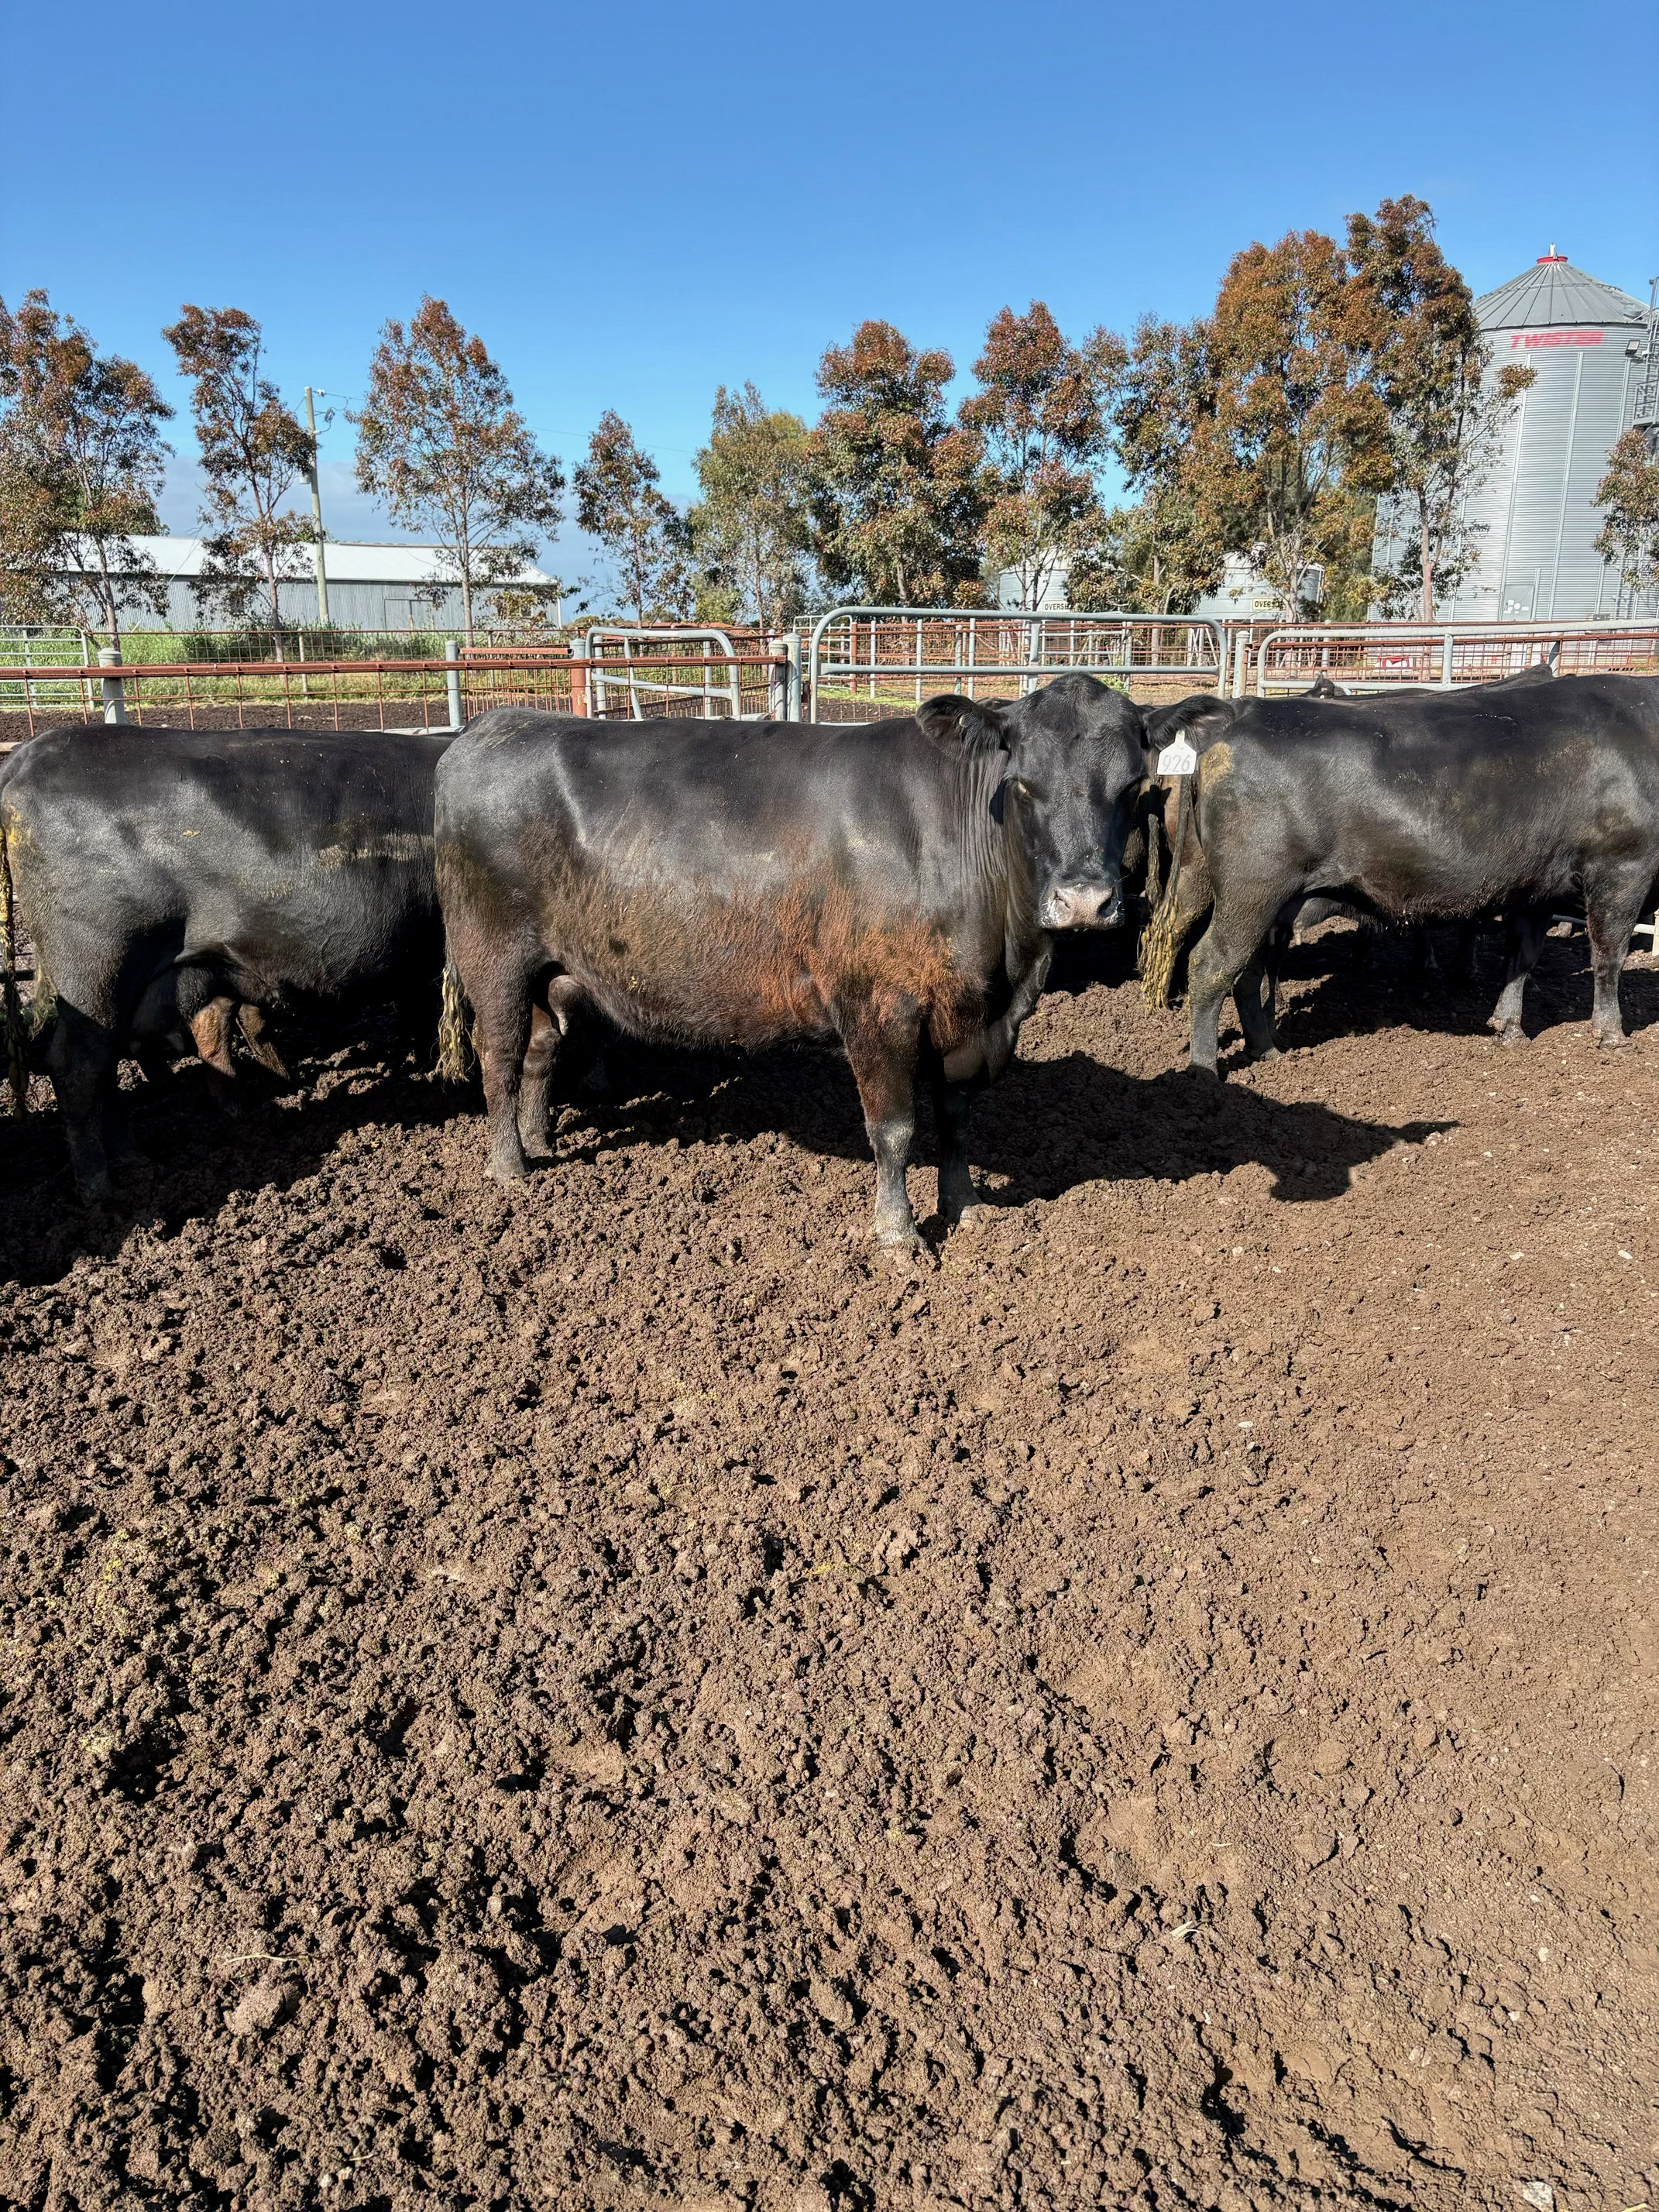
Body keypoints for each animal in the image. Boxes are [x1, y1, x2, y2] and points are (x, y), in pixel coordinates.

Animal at [0, 724, 455, 1200]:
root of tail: (28, 755)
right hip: (95, 963)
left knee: (117, 1058)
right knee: (78, 1065)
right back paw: (98, 1187)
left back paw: (136, 1156)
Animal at [434, 676, 1149, 1251]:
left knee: (539, 1051)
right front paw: (898, 1234)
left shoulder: (966, 1016)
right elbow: (894, 1127)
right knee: (499, 1056)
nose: (1084, 900)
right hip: (492, 954)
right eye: (1025, 784)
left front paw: (966, 1206)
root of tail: (495, 724)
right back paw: (510, 1167)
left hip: (551, 969)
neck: (1007, 965)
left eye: (1134, 787)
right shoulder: (877, 1004)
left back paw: (541, 1143)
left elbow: (955, 1117)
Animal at [1143, 674, 1659, 1074]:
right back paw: (1205, 1071)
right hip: (1253, 888)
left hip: (1241, 891)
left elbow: (1522, 958)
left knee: (1244, 967)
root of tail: (1236, 711)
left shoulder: (1537, 887)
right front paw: (1612, 1035)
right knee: (1211, 964)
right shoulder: (1625, 866)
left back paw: (1267, 1050)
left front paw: (1509, 1027)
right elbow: (1609, 954)